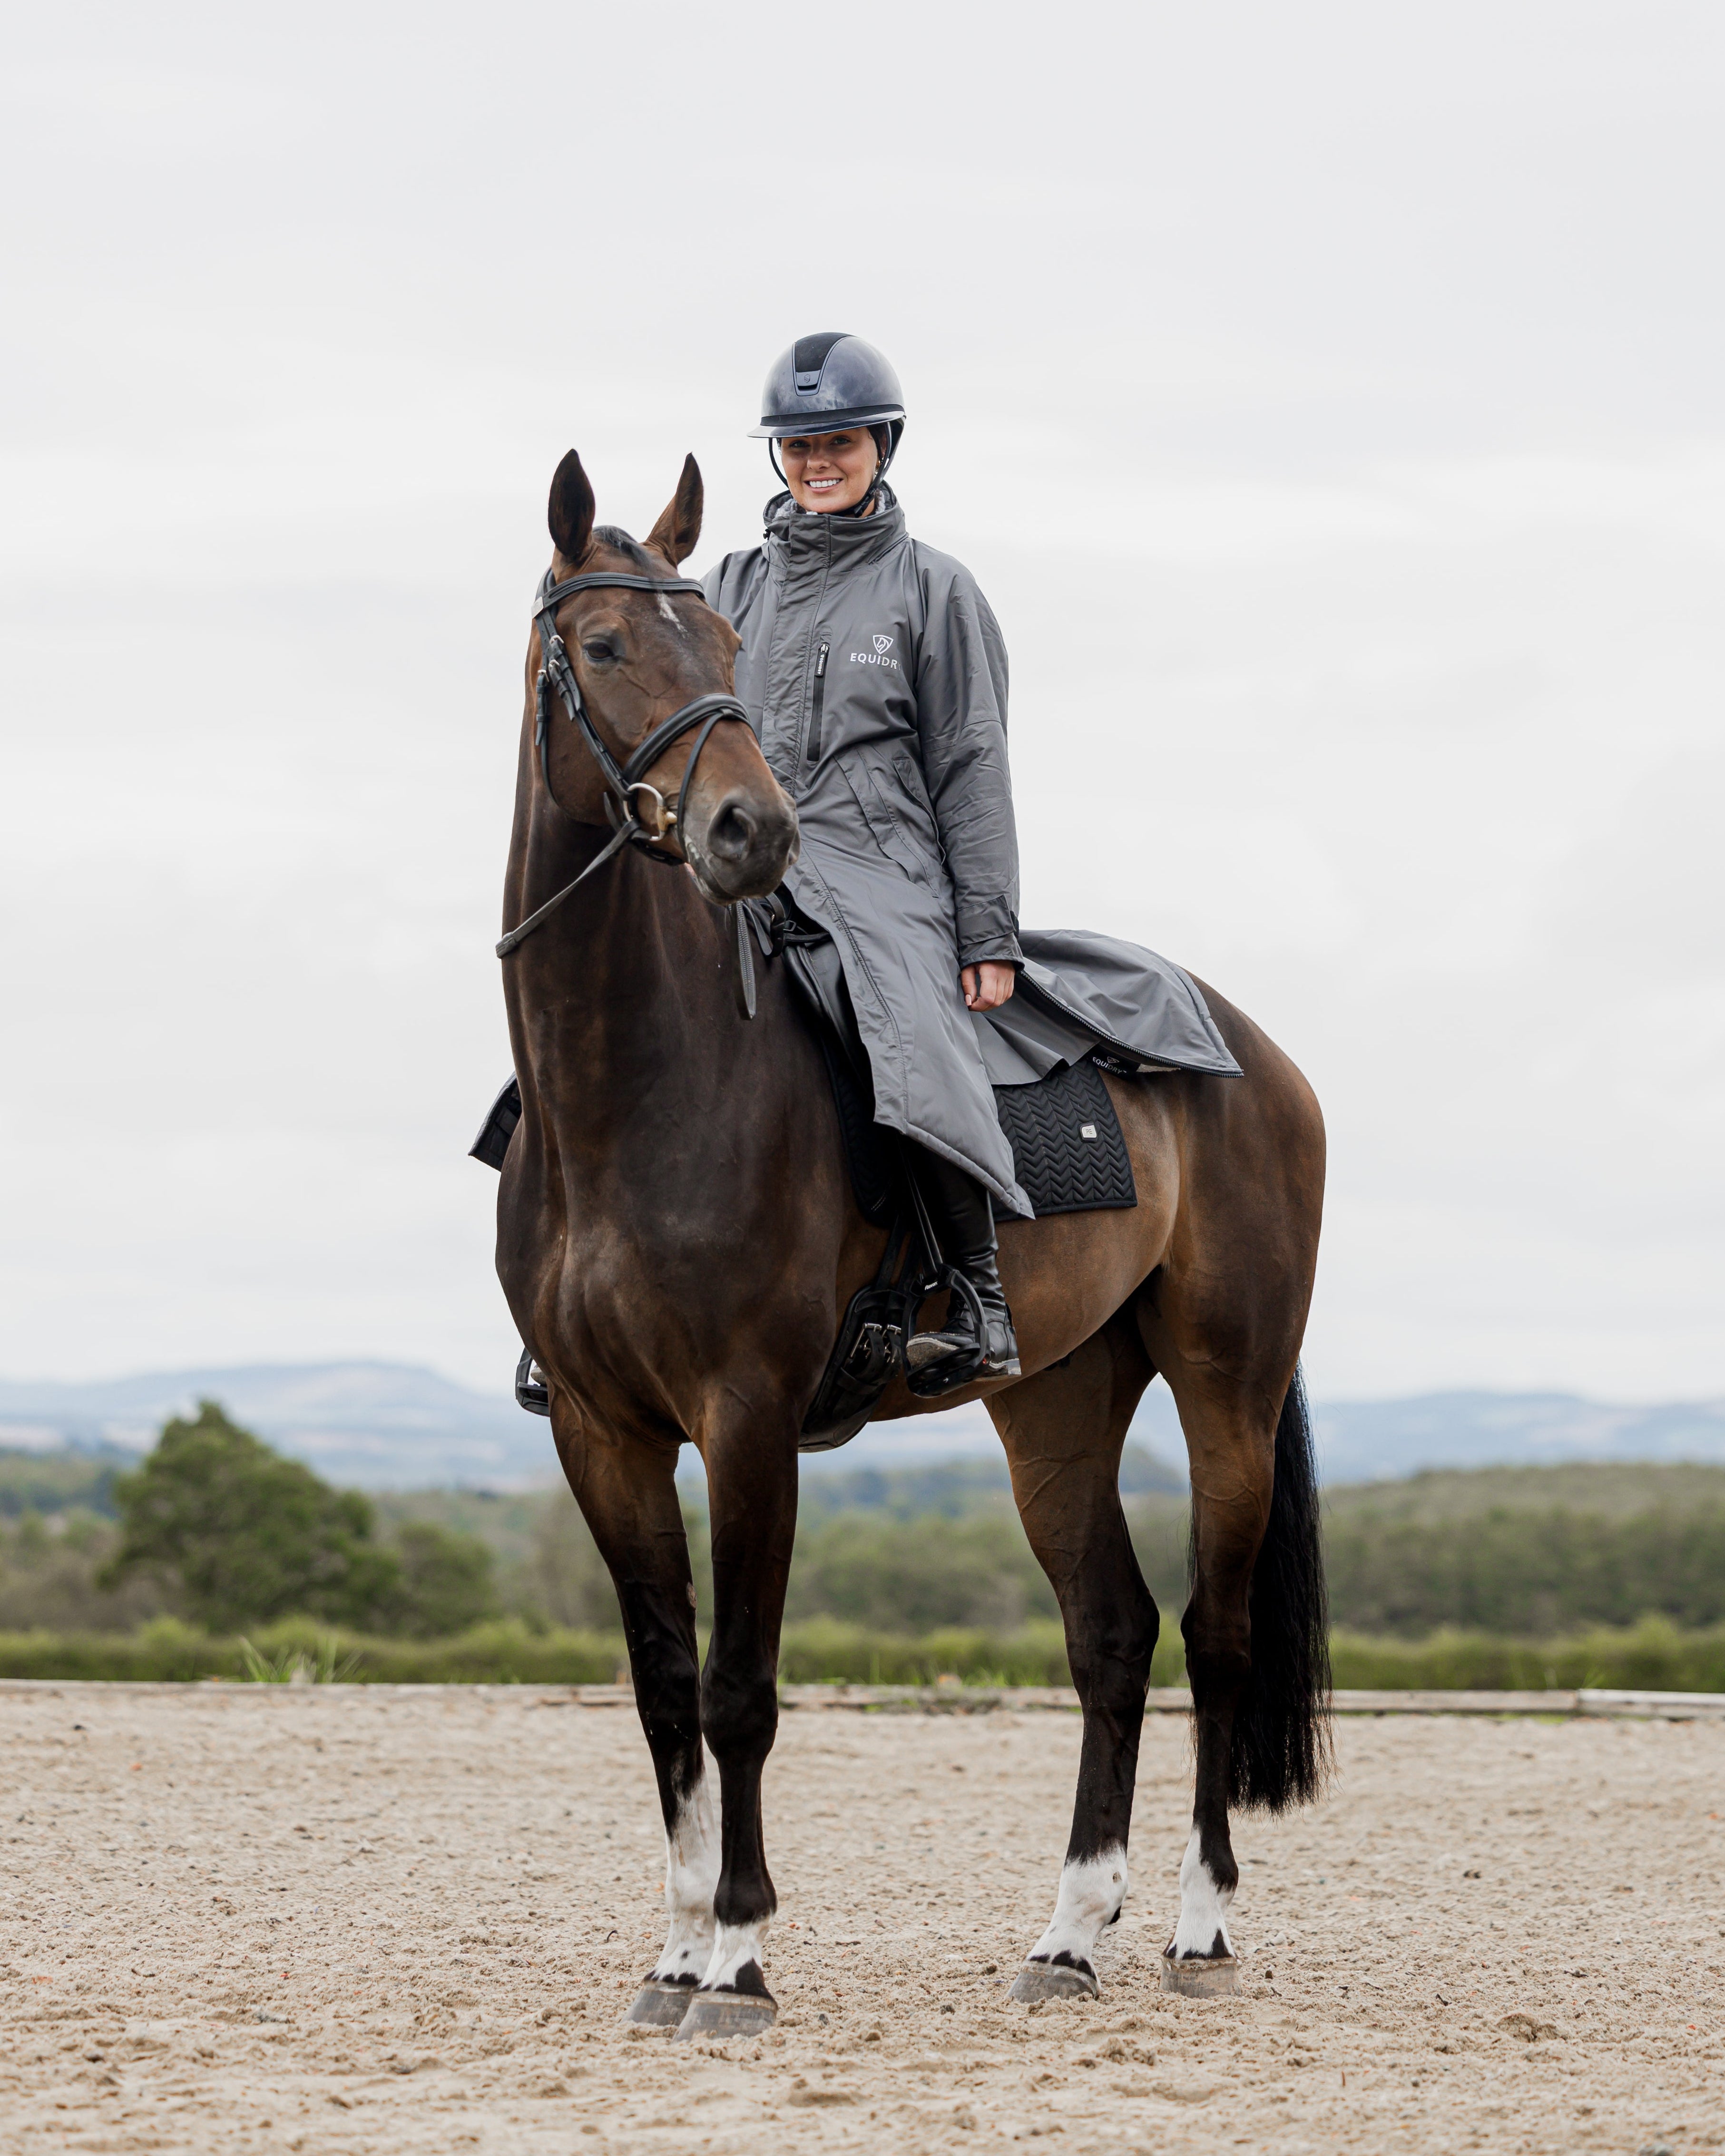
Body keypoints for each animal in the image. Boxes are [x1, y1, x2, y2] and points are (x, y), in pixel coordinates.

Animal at [493, 448, 1329, 2037]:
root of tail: (1248, 1046)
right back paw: (1067, 1937)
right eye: (606, 645)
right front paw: (671, 1952)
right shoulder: (600, 1429)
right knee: (1113, 1633)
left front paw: (737, 1960)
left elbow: (739, 1686)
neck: (629, 1081)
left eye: (726, 644)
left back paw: (1195, 1928)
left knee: (1218, 1633)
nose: (750, 832)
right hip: (1054, 1403)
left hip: (1227, 1393)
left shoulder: (747, 1416)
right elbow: (660, 1684)